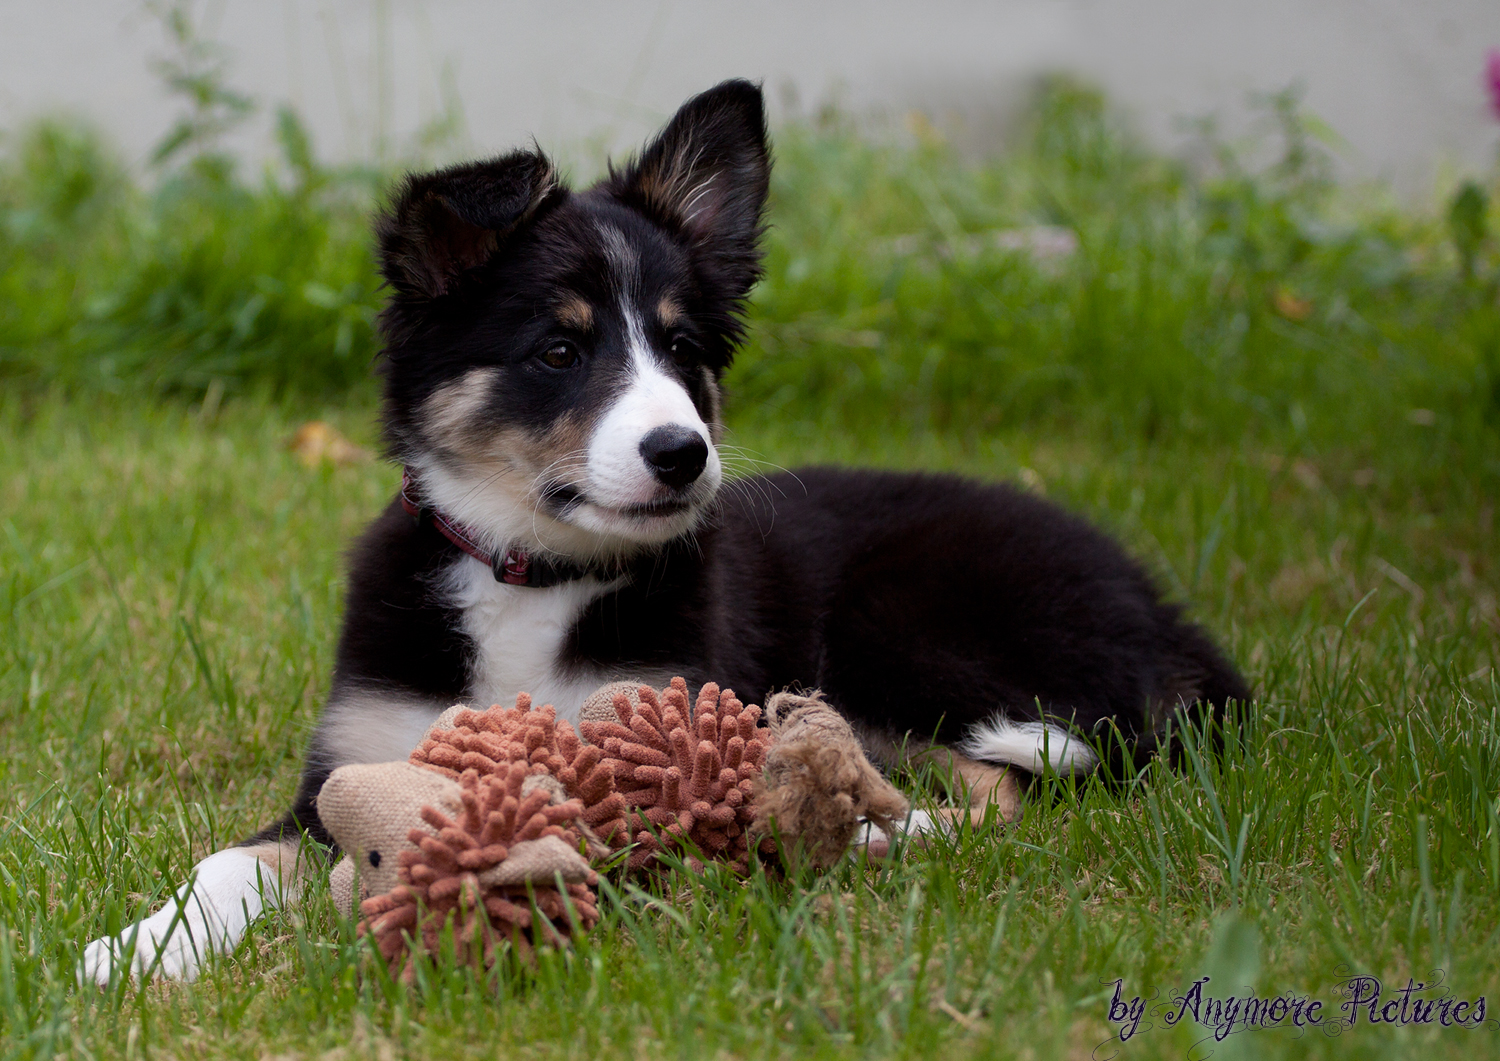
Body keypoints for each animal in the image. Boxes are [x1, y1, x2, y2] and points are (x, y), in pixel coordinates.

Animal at [85, 78, 1254, 984]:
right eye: (560, 350)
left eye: (685, 348)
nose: (683, 454)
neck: (531, 574)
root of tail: (1167, 612)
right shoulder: (348, 764)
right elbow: (231, 862)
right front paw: (139, 947)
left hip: (900, 626)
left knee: (999, 788)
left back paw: (863, 836)